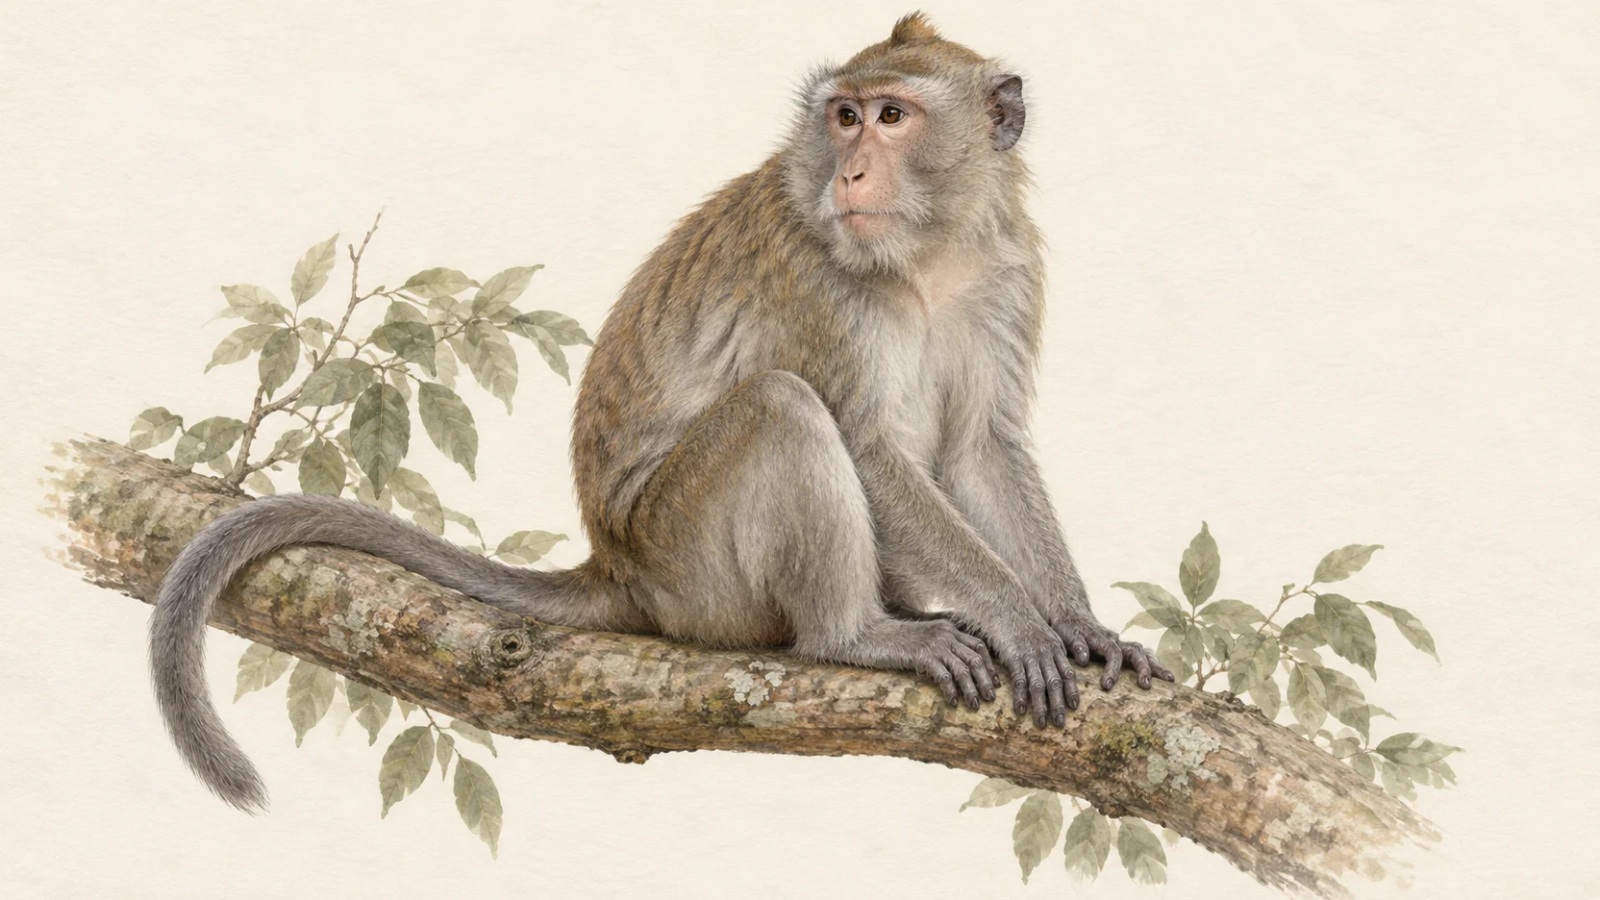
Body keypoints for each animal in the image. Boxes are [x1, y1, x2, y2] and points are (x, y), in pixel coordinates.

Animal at [149, 12, 1173, 813]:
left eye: (892, 116)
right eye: (844, 117)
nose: (848, 174)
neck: (927, 255)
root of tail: (617, 562)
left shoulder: (1006, 271)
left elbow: (981, 448)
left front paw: (1078, 623)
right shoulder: (816, 278)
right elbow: (867, 446)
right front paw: (1020, 621)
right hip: (693, 568)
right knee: (782, 408)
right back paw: (857, 636)